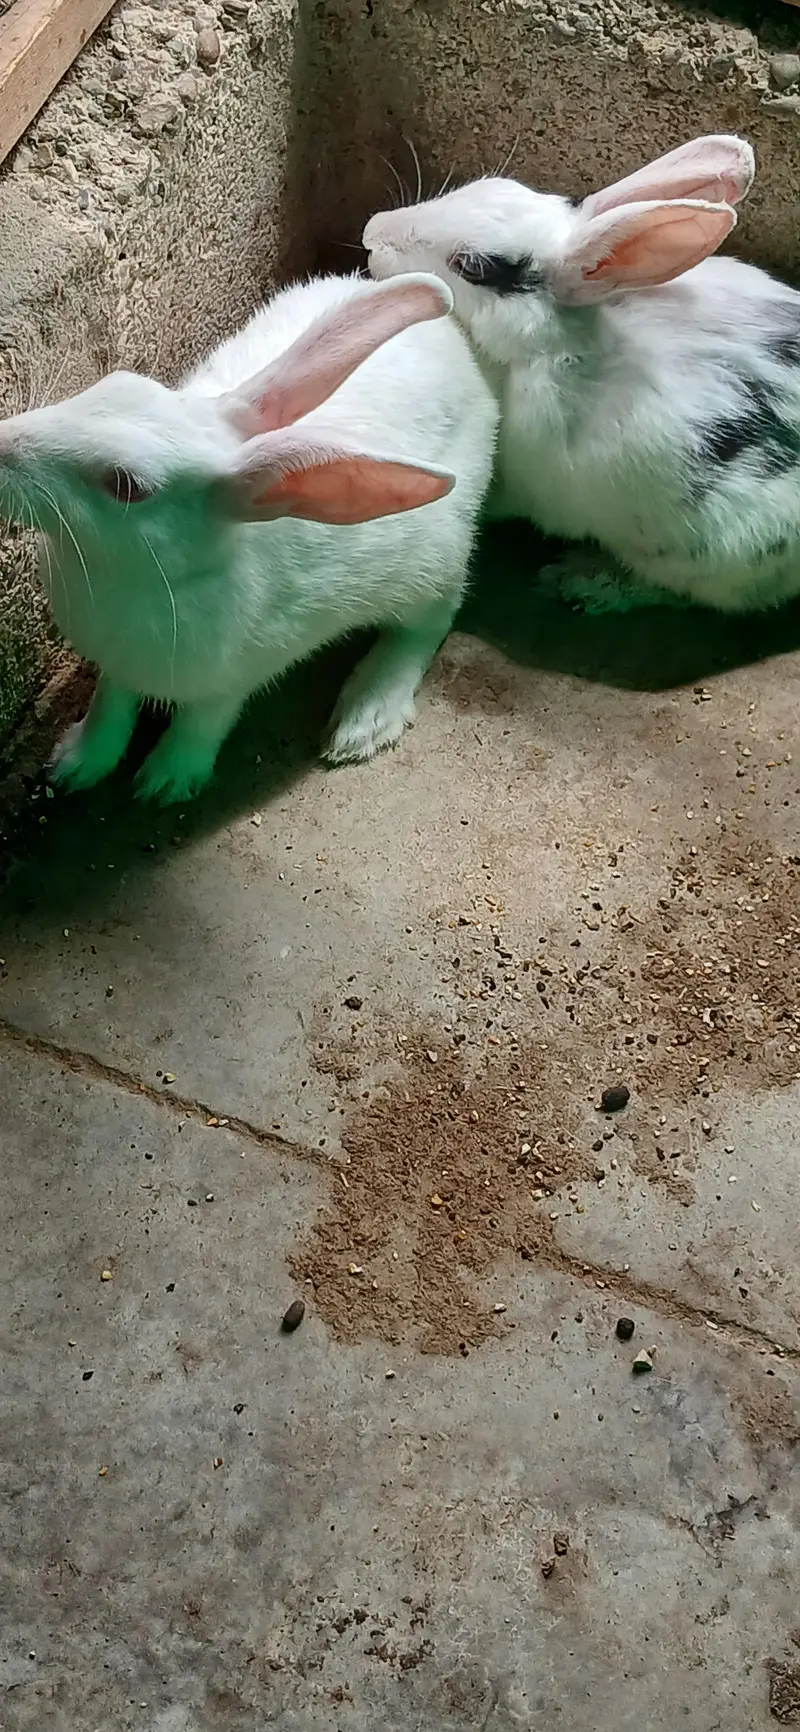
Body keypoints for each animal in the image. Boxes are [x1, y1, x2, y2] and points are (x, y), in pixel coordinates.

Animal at [0, 271, 498, 804]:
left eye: (125, 486)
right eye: (113, 384)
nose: (2, 445)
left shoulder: (237, 674)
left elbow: (204, 720)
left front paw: (167, 781)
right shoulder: (117, 666)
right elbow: (108, 706)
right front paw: (76, 764)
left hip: (431, 568)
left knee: (426, 626)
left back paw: (366, 719)